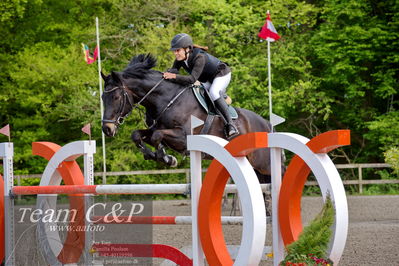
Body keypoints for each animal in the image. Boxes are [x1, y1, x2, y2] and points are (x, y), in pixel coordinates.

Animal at [101, 54, 286, 183]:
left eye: (116, 97)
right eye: (102, 97)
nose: (107, 129)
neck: (166, 99)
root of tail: (268, 125)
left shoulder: (184, 137)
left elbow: (157, 136)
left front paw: (167, 158)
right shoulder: (155, 129)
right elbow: (138, 135)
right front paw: (156, 156)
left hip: (264, 164)